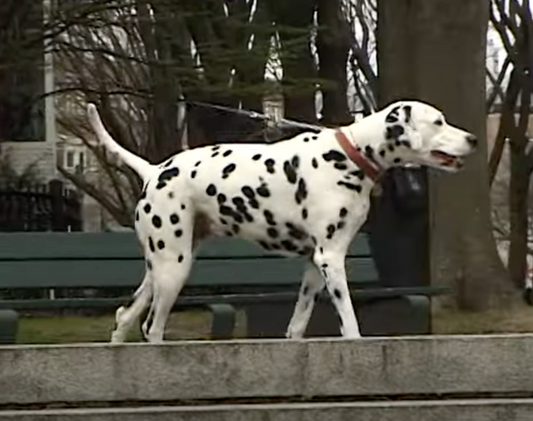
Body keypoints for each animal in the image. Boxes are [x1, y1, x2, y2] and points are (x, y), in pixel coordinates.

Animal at [85, 100, 476, 342]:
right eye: (438, 121)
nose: (472, 138)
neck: (347, 155)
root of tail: (154, 170)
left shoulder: (314, 266)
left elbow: (298, 323)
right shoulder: (331, 260)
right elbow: (349, 321)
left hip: (162, 267)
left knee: (125, 316)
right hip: (173, 270)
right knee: (152, 326)